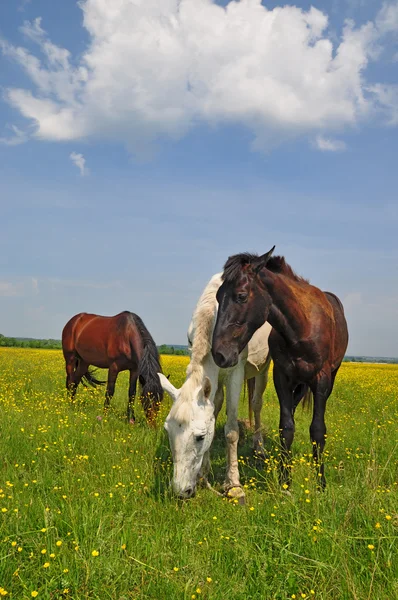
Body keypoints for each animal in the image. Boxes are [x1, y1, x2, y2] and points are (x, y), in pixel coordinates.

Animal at [157, 274, 272, 504]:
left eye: (199, 437)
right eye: (168, 430)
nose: (181, 491)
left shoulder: (235, 372)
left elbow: (231, 431)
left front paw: (234, 485)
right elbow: (213, 410)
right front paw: (204, 473)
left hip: (263, 369)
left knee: (256, 404)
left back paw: (259, 447)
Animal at [211, 246, 348, 490]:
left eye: (241, 296)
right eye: (218, 296)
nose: (219, 354)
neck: (301, 326)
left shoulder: (321, 380)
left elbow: (318, 430)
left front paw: (320, 483)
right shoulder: (282, 377)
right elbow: (286, 427)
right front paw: (285, 483)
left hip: (328, 377)